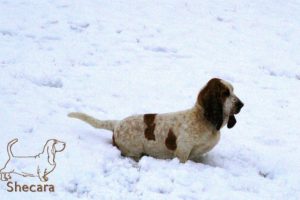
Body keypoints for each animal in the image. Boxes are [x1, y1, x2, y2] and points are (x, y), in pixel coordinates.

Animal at [68, 78, 244, 162]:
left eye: (233, 91)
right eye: (225, 93)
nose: (241, 104)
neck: (203, 119)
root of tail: (117, 124)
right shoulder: (182, 152)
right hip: (134, 151)